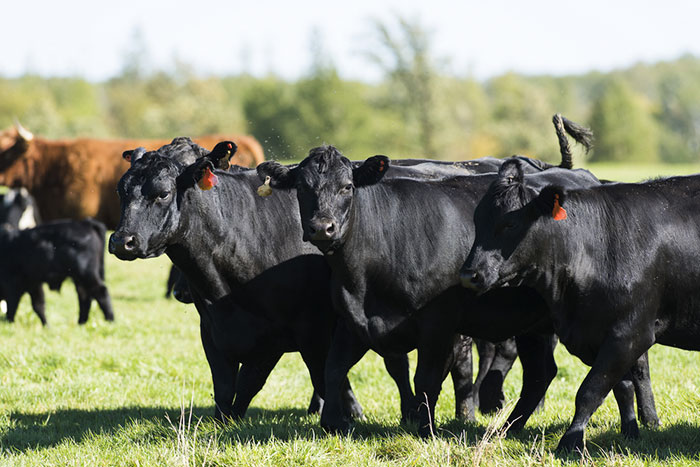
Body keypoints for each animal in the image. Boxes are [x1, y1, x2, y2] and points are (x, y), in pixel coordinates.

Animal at [109, 139, 416, 424]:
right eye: (121, 190)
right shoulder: (211, 331)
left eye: (163, 193)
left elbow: (252, 384)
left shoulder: (291, 333)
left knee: (393, 363)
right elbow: (224, 390)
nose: (122, 241)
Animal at [256, 147, 656, 438]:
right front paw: (333, 425)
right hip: (535, 326)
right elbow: (333, 368)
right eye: (303, 188)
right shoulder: (351, 320)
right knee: (540, 375)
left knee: (631, 365)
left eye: (347, 187)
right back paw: (510, 428)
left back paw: (640, 424)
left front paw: (425, 428)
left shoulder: (438, 325)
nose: (322, 227)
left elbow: (426, 379)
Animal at [460, 159, 700, 452]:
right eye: (477, 220)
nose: (469, 275)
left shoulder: (631, 333)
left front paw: (570, 442)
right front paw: (629, 432)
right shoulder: (595, 334)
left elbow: (590, 391)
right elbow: (622, 387)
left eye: (510, 224)